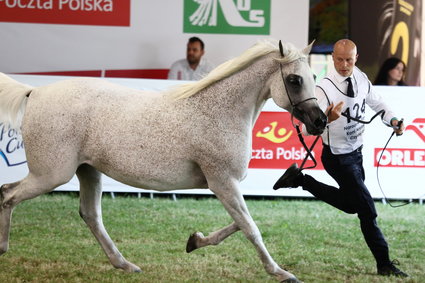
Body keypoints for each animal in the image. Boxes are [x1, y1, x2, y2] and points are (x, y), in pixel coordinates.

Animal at [0, 39, 326, 282]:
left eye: (312, 78)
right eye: (294, 80)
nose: (319, 122)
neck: (219, 110)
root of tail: (35, 91)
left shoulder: (226, 185)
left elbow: (242, 222)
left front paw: (194, 241)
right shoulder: (222, 181)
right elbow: (250, 227)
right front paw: (281, 272)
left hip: (88, 171)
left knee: (90, 215)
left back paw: (125, 265)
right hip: (52, 174)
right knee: (8, 195)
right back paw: (3, 249)